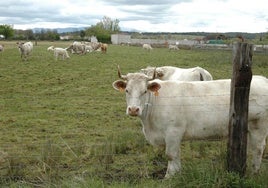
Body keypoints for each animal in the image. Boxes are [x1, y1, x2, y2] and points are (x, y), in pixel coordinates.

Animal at [113, 68, 268, 178]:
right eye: (127, 90)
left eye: (145, 91)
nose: (133, 109)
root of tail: (261, 79)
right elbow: (176, 154)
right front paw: (177, 172)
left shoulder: (173, 131)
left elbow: (170, 154)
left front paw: (169, 176)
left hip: (259, 126)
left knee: (258, 148)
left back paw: (254, 172)